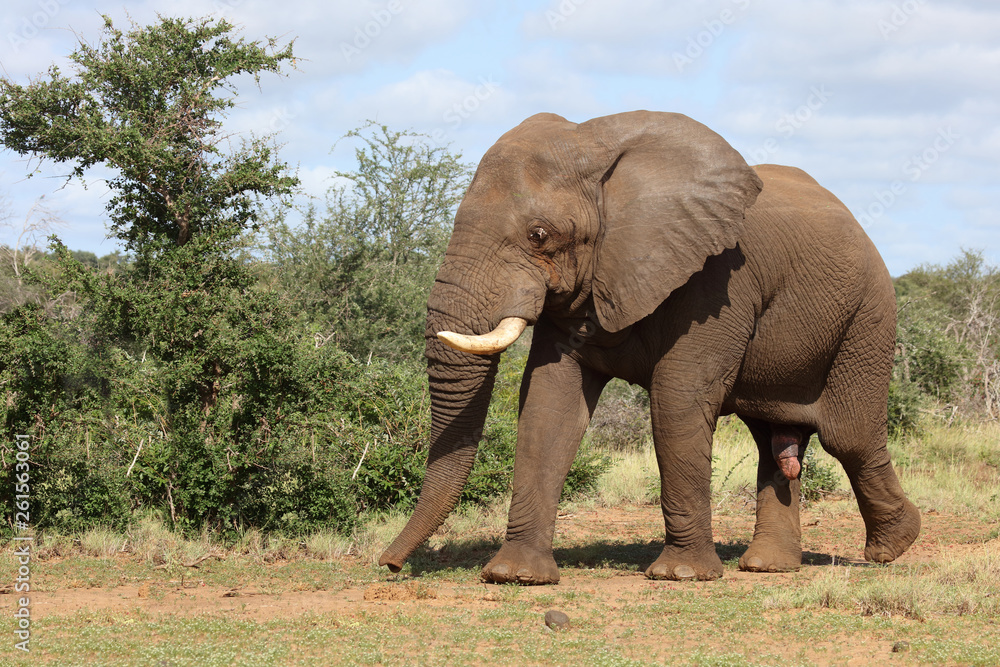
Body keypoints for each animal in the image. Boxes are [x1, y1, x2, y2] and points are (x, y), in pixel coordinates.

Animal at [378, 110, 920, 584]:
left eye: (539, 235)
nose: (388, 565)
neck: (597, 148)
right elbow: (549, 403)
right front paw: (515, 576)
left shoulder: (717, 279)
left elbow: (677, 398)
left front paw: (682, 576)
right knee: (775, 442)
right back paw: (769, 566)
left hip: (869, 314)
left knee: (847, 435)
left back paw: (894, 547)